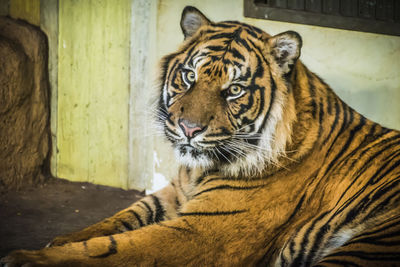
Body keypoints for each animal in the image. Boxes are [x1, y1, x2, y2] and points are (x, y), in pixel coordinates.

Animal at [2, 5, 400, 267]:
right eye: (190, 77)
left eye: (235, 90)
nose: (189, 128)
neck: (199, 171)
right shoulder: (174, 194)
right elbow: (117, 220)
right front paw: (61, 240)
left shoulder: (206, 231)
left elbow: (118, 247)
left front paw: (28, 259)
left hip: (369, 245)